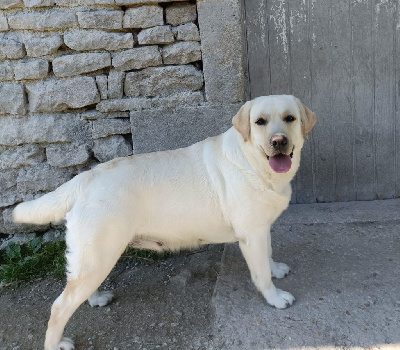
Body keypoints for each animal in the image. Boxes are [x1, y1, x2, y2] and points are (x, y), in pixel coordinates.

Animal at [13, 94, 316, 348]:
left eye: (290, 118)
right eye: (259, 122)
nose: (279, 141)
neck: (254, 162)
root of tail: (85, 177)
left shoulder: (261, 229)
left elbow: (269, 254)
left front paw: (276, 269)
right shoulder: (251, 234)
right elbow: (261, 273)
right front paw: (275, 297)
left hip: (93, 256)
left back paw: (97, 299)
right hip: (98, 256)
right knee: (59, 307)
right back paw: (56, 343)